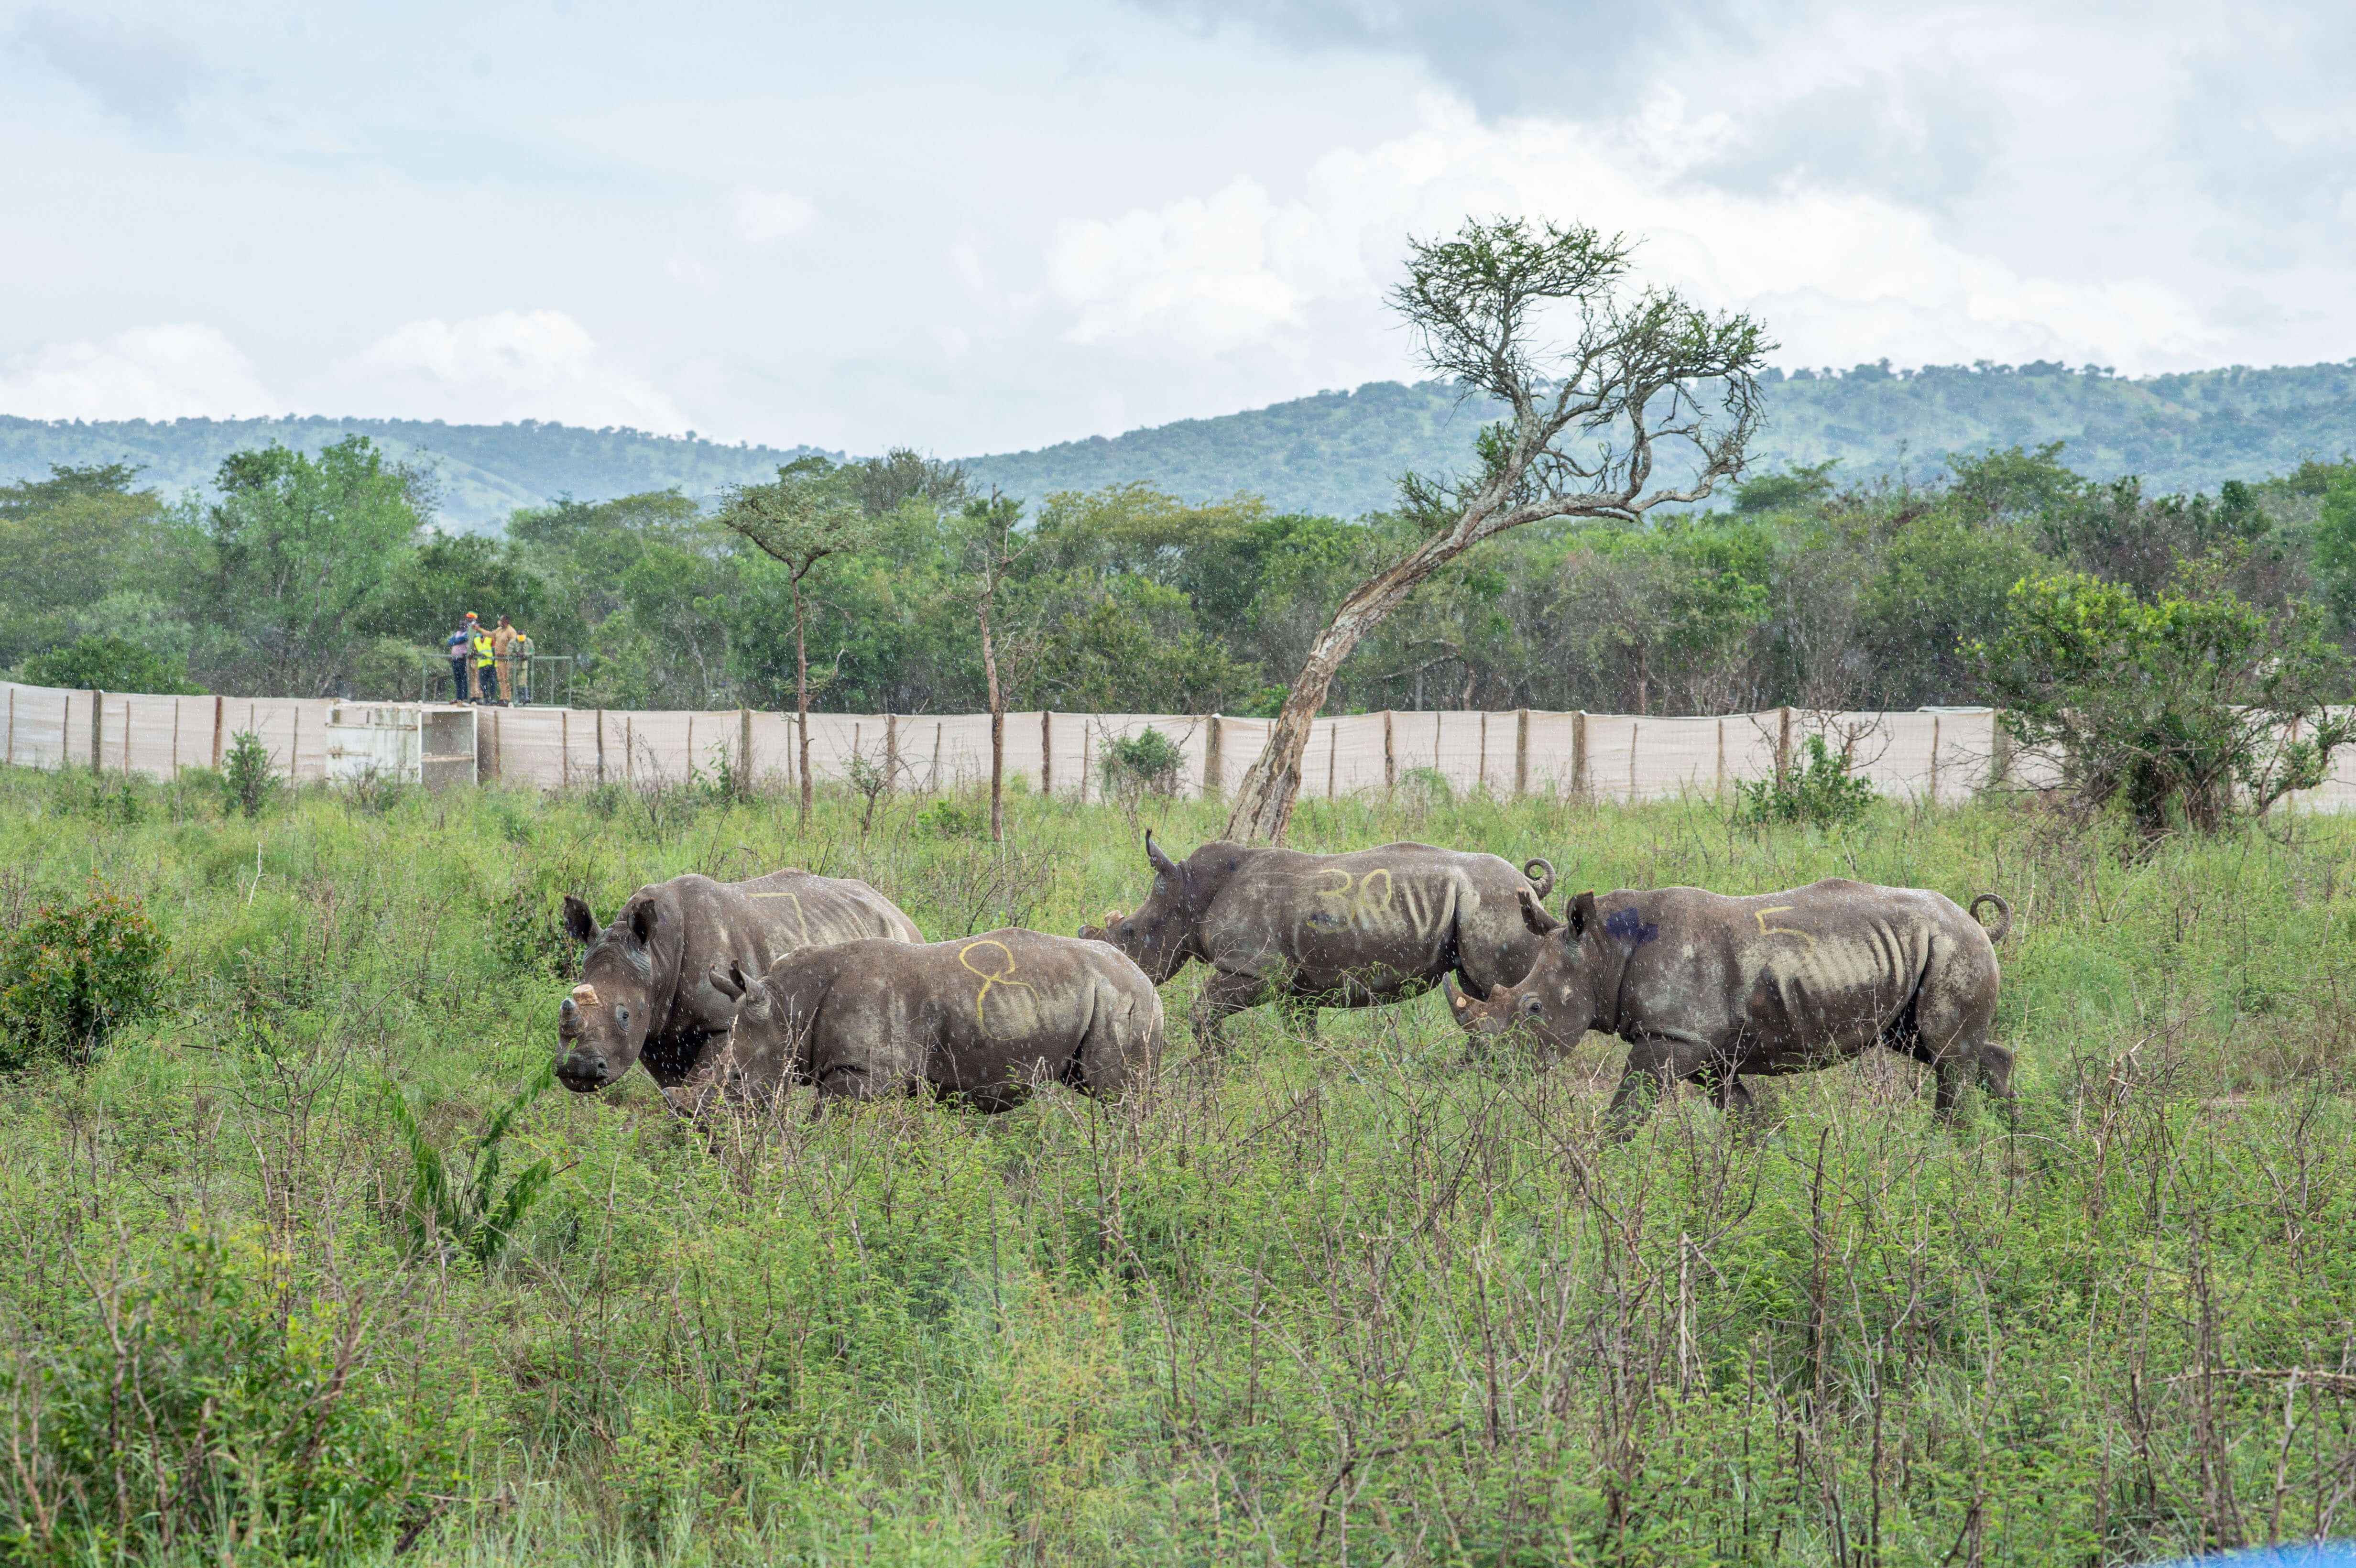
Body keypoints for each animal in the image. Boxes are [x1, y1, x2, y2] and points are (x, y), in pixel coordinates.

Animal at [551, 861, 918, 1092]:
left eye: (625, 1015)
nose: (578, 1069)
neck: (657, 958)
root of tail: (895, 908)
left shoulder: (723, 1021)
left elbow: (701, 1083)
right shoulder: (656, 1033)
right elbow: (674, 1089)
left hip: (897, 940)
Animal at [1083, 828, 1564, 1035]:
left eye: (1129, 932)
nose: (1120, 970)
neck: (1190, 890)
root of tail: (1529, 887)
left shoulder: (1257, 968)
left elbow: (1203, 1012)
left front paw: (1216, 1071)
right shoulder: (1298, 989)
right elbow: (1303, 1037)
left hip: (1496, 903)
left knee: (1507, 988)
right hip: (1490, 906)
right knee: (1482, 990)